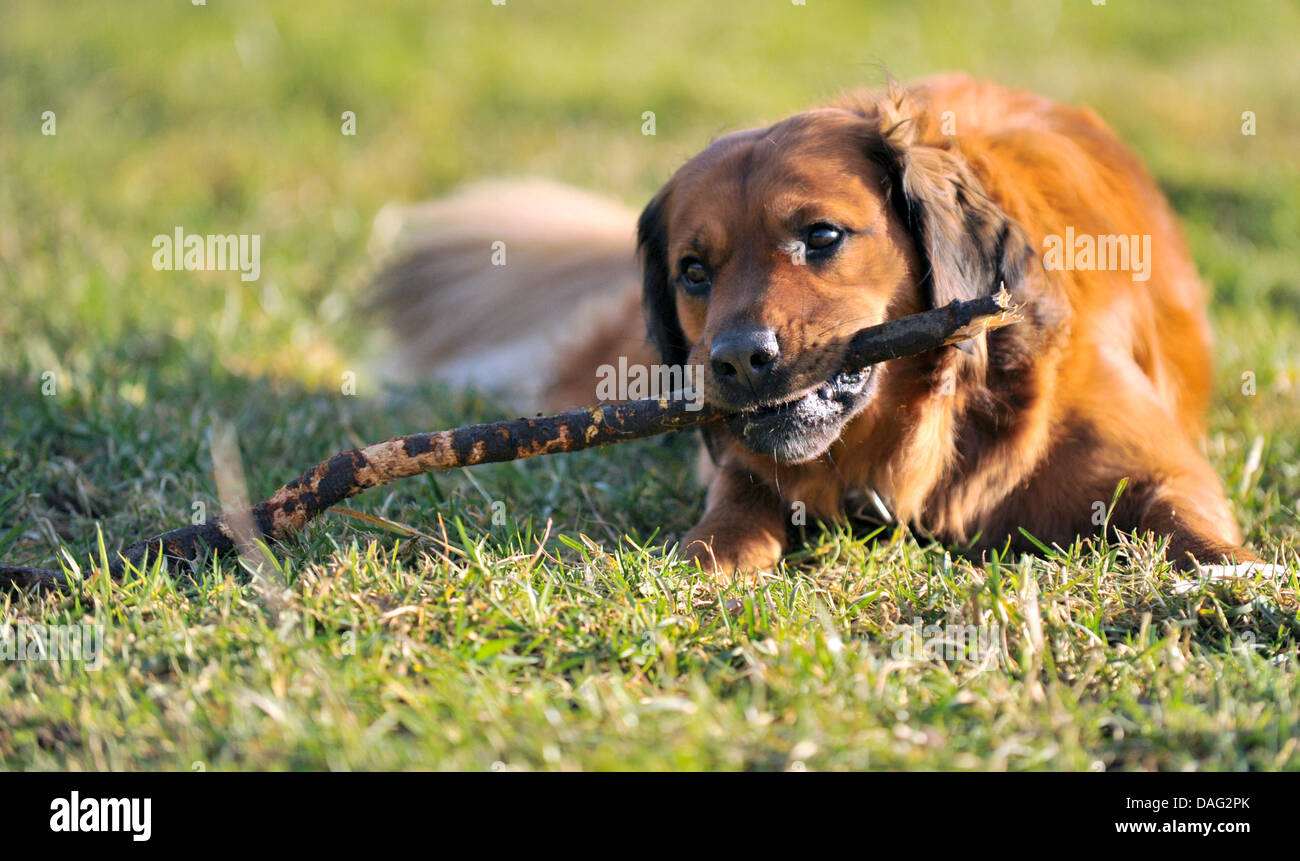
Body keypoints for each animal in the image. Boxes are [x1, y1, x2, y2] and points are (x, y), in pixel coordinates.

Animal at [377, 75, 1258, 580]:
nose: (737, 360)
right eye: (693, 270)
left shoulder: (1161, 466)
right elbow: (736, 503)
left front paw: (1240, 577)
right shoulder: (739, 459)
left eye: (823, 236)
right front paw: (710, 558)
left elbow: (1191, 523)